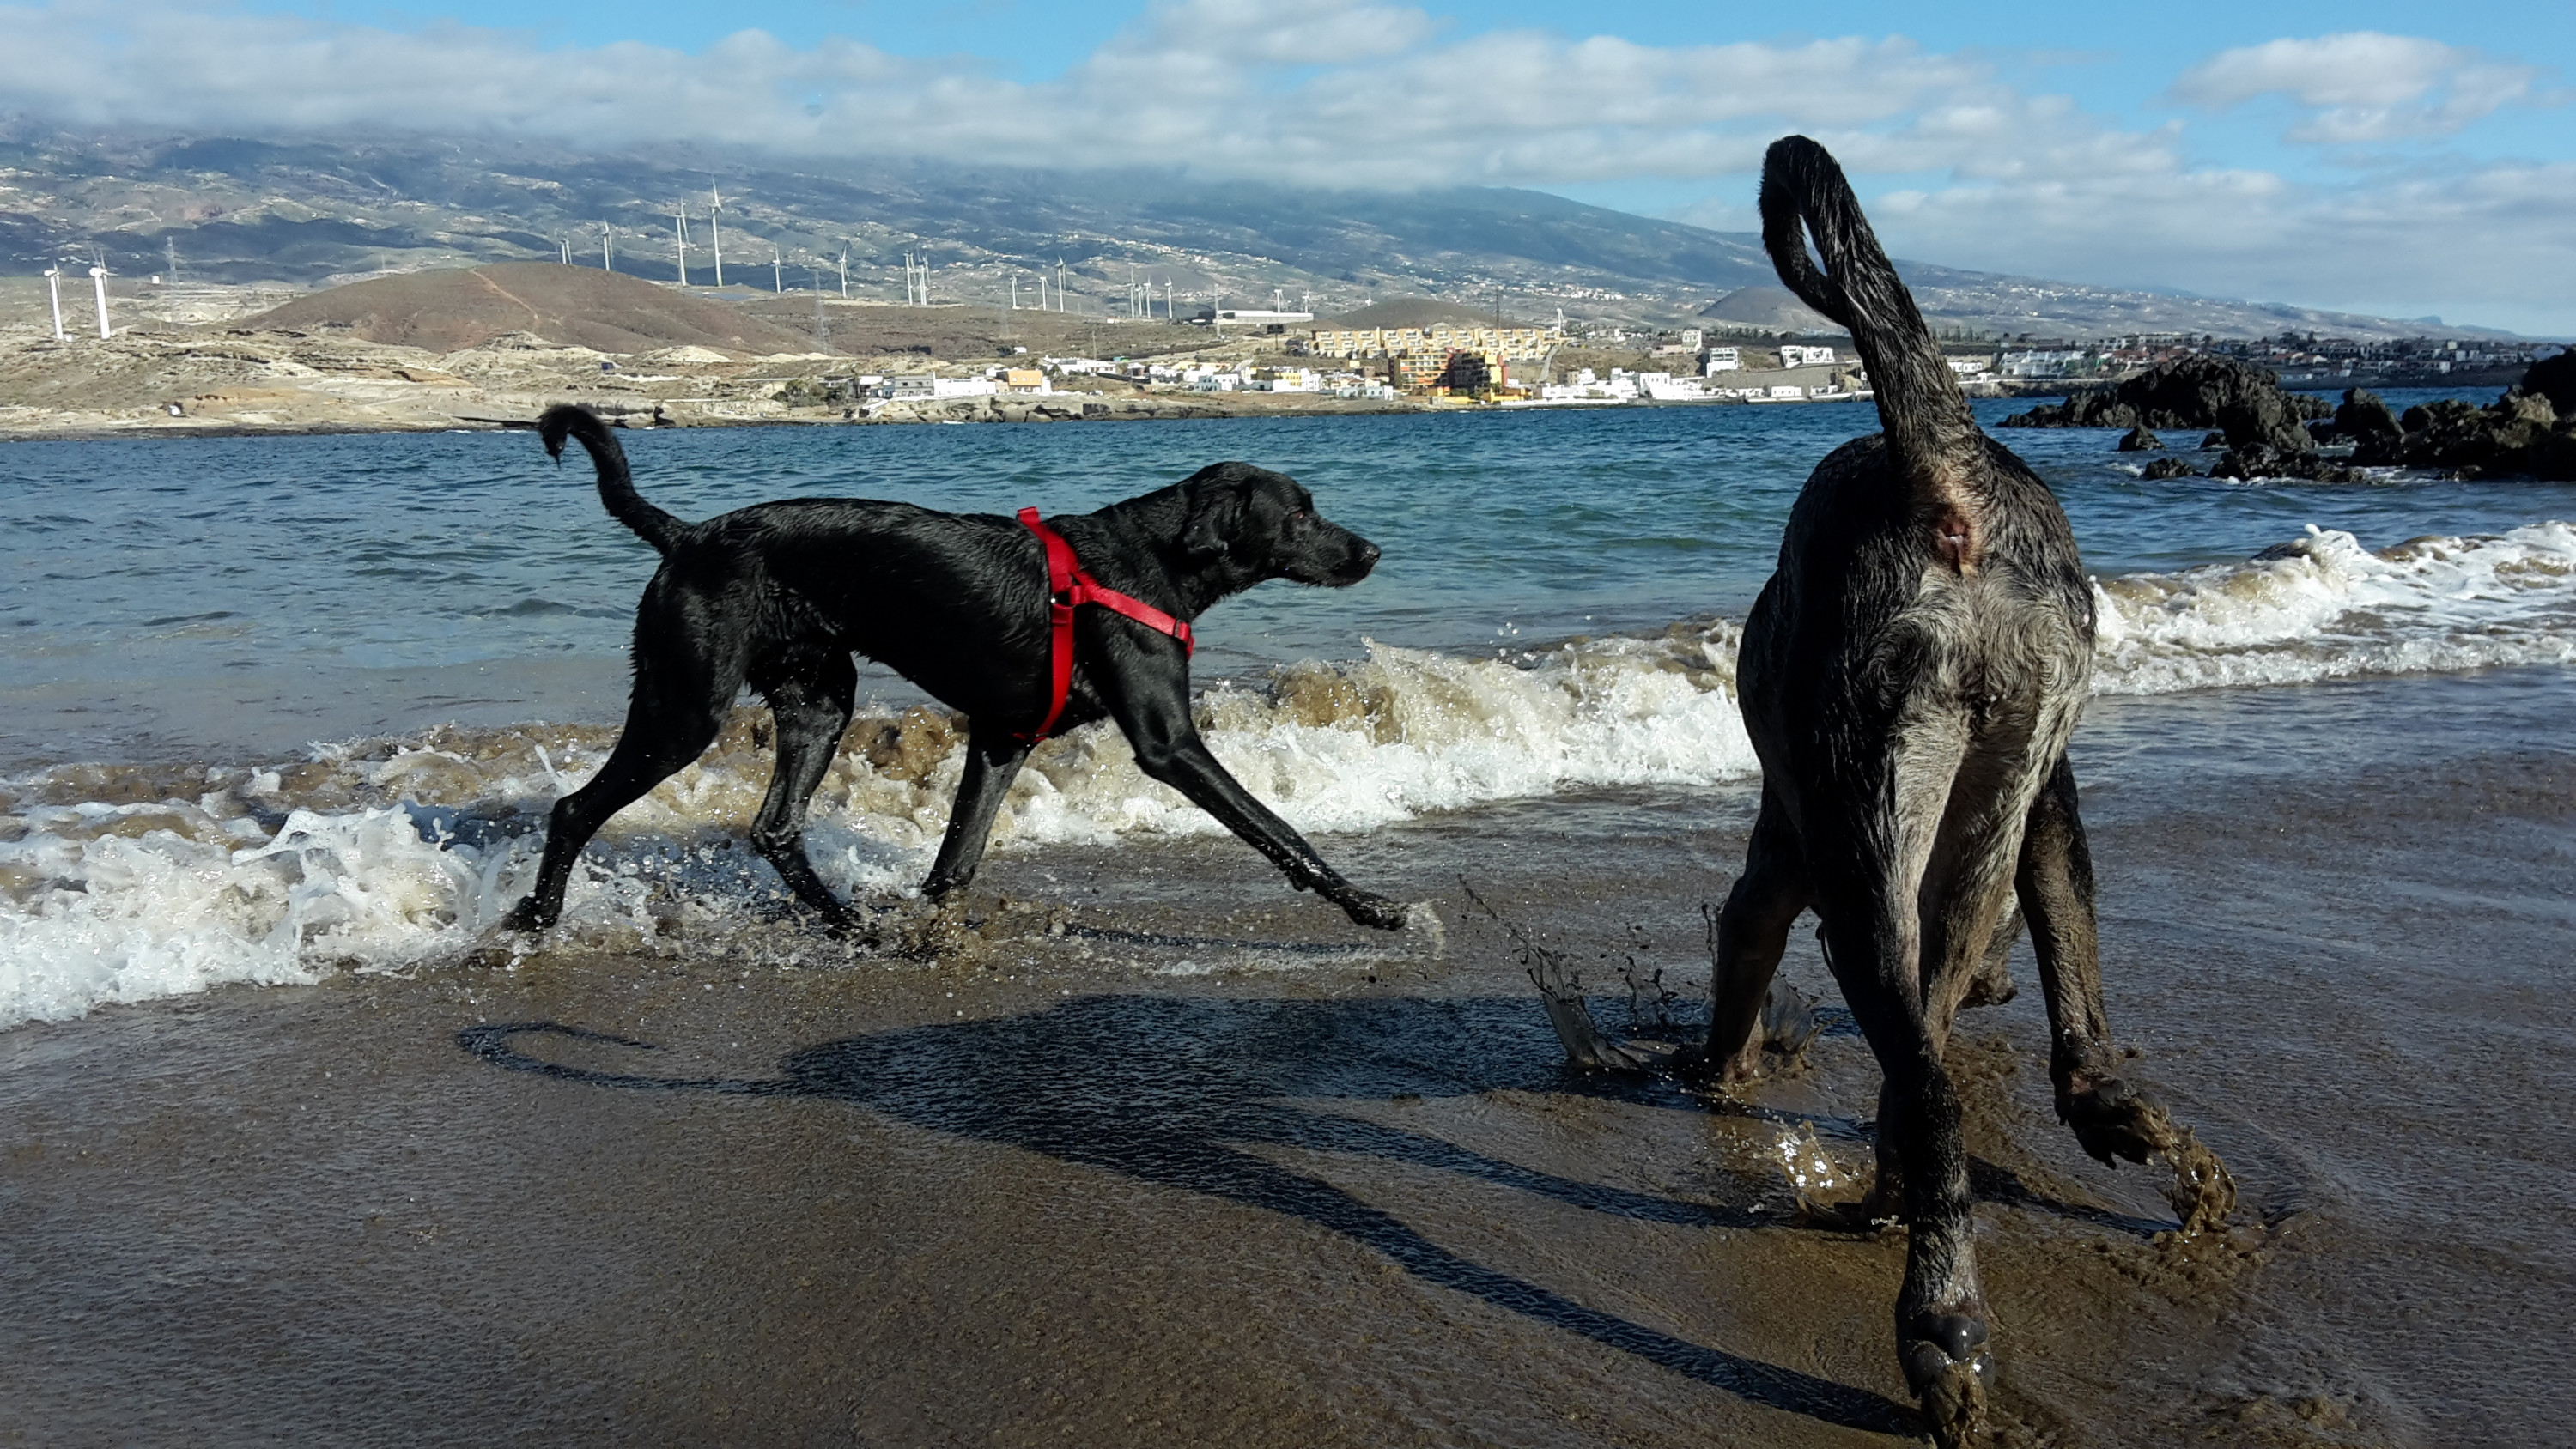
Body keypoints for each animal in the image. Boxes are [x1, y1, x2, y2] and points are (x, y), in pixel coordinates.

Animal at [505, 401, 1412, 937]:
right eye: (1301, 514)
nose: (1372, 551)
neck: (1151, 561)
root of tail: (686, 536)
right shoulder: (1168, 743)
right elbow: (1276, 827)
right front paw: (1366, 904)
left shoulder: (1003, 738)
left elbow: (956, 861)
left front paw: (930, 928)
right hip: (685, 706)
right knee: (575, 809)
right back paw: (539, 916)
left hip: (819, 698)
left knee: (776, 828)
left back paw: (847, 925)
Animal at [1700, 138, 2226, 1449]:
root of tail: (1949, 470)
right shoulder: (2042, 803)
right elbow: (2066, 962)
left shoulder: (1785, 863)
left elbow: (1743, 956)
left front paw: (1717, 1076)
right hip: (1992, 752)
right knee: (1962, 1058)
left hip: (1863, 836)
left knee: (1927, 1094)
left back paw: (1933, 1315)